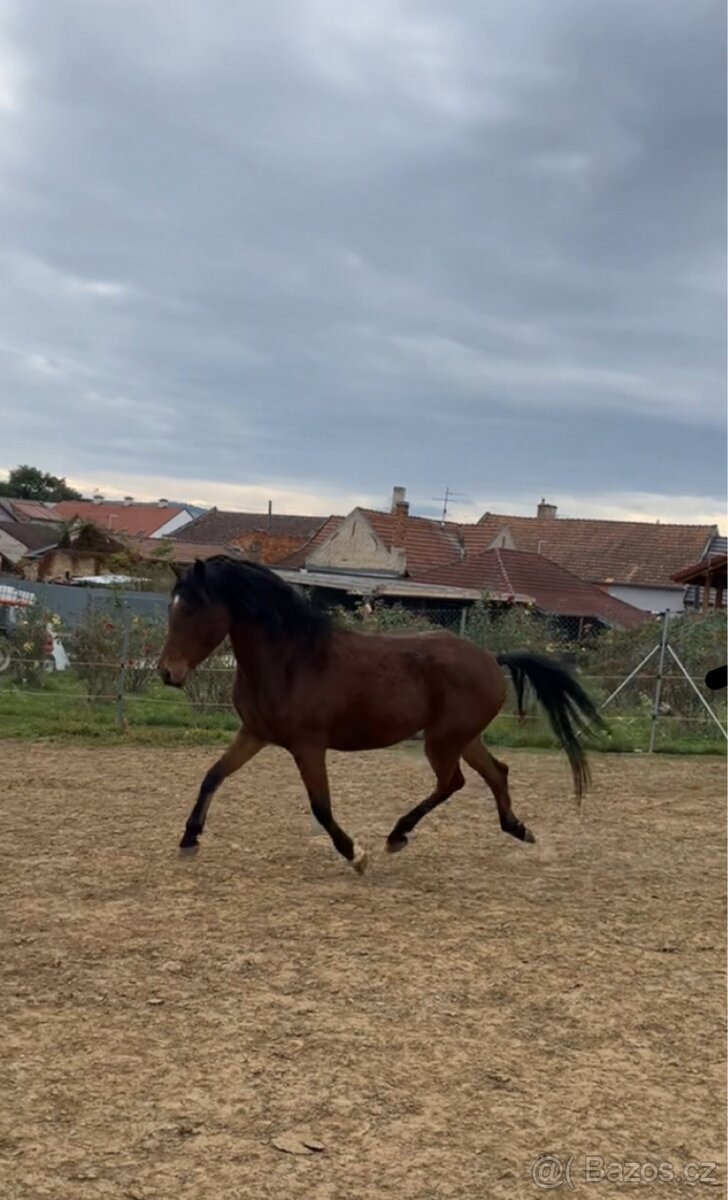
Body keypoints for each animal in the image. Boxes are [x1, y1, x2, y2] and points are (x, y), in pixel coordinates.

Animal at [158, 556, 605, 874]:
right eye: (173, 608)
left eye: (194, 609)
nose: (167, 673)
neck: (290, 661)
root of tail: (491, 659)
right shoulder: (254, 733)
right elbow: (213, 776)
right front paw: (189, 839)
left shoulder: (308, 746)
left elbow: (321, 807)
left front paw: (356, 855)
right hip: (463, 738)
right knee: (496, 772)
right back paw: (518, 829)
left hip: (443, 741)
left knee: (453, 782)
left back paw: (397, 835)